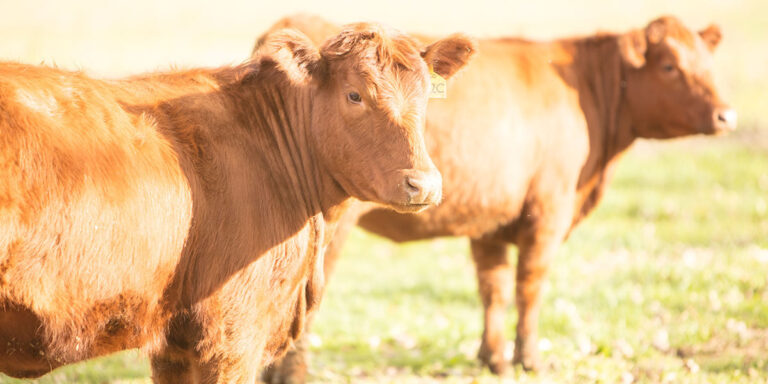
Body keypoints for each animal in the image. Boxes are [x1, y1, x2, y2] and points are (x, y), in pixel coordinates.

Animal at [258, 13, 736, 380]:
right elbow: (530, 287)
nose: (726, 115)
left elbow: (495, 289)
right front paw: (529, 359)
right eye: (670, 66)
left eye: (707, 61)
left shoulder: (488, 221)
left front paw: (494, 358)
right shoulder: (548, 213)